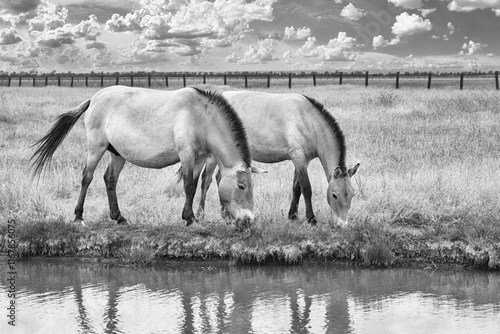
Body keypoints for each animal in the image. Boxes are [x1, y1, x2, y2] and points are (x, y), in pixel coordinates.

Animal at [30, 86, 266, 227]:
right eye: (242, 186)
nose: (248, 219)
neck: (200, 117)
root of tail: (94, 98)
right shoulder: (187, 155)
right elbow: (189, 186)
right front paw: (190, 218)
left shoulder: (199, 158)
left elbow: (195, 183)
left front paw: (190, 216)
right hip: (96, 147)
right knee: (86, 178)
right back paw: (79, 216)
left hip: (118, 154)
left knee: (110, 179)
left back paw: (119, 217)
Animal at [195, 90, 360, 226]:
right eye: (334, 195)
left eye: (352, 194)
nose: (342, 225)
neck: (307, 120)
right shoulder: (298, 157)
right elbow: (306, 188)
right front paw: (311, 218)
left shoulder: (302, 160)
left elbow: (296, 188)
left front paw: (292, 215)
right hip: (213, 156)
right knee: (206, 181)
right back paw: (201, 215)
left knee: (219, 178)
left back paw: (226, 215)